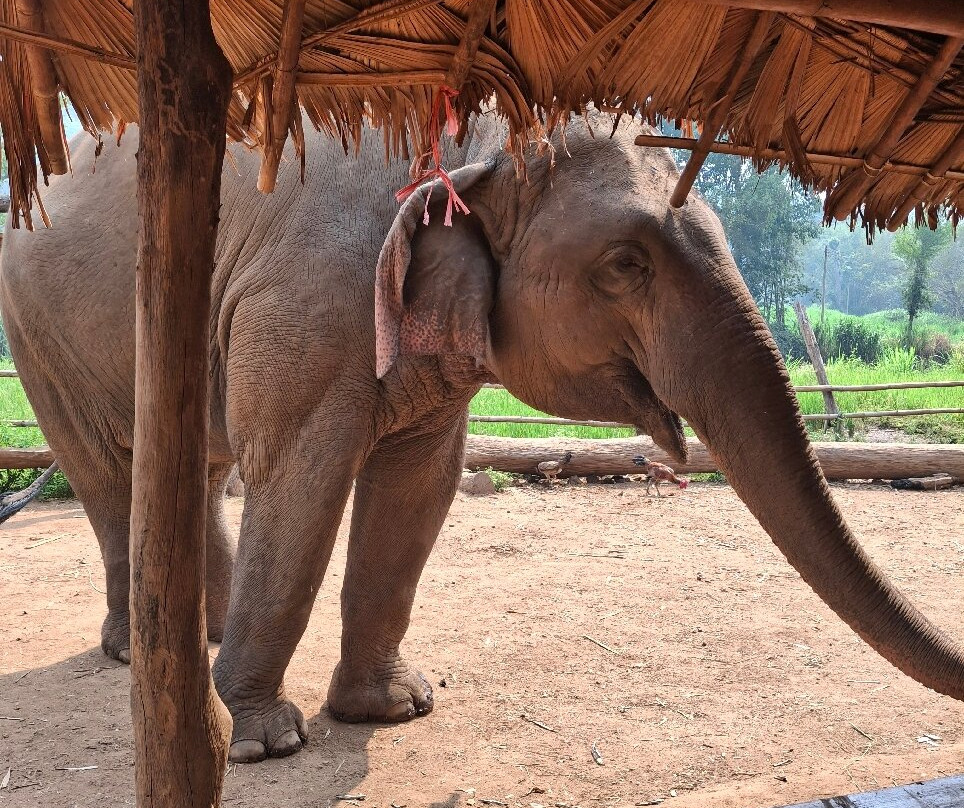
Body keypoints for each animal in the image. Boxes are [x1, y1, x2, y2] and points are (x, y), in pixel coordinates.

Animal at [2, 110, 962, 766]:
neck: (484, 128)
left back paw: (194, 639)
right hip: (39, 332)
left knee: (191, 465)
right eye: (625, 265)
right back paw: (142, 652)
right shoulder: (304, 298)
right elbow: (300, 472)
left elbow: (420, 484)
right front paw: (270, 741)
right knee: (108, 470)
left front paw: (395, 709)